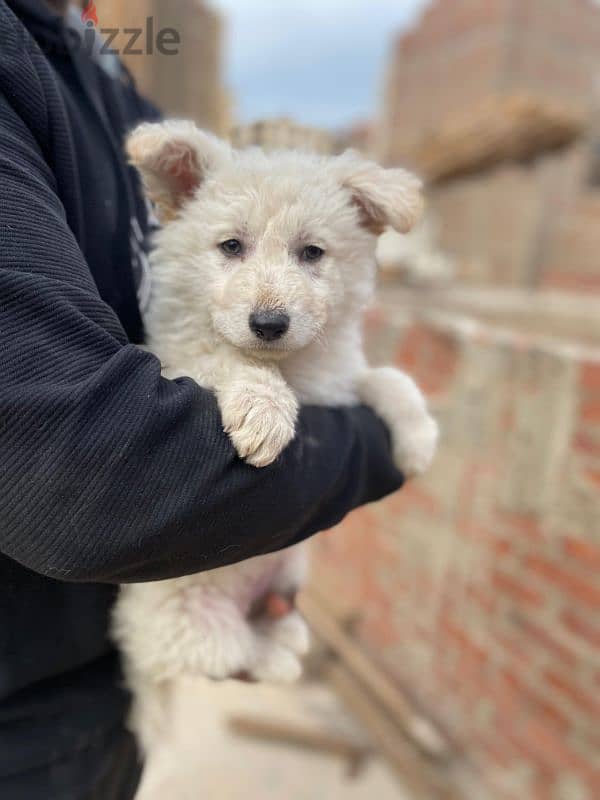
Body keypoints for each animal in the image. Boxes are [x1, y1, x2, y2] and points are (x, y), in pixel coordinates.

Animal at [111, 122, 436, 764]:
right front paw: (265, 412)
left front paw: (415, 434)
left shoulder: (338, 381)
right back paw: (279, 656)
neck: (293, 367)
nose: (268, 324)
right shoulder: (177, 360)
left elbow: (381, 377)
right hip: (196, 627)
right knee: (238, 655)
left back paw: (287, 634)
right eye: (231, 246)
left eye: (312, 252)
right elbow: (226, 359)